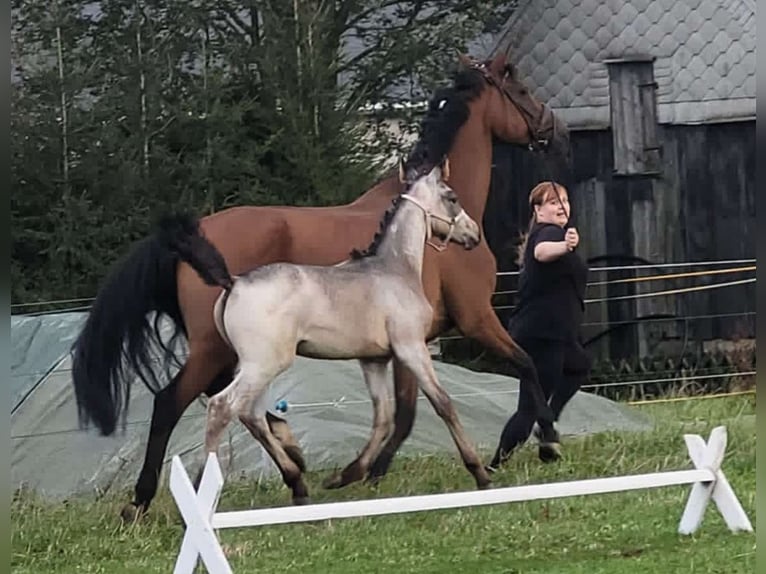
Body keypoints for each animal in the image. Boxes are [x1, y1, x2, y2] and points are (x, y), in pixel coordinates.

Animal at [161, 162, 492, 504]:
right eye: (452, 197)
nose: (473, 234)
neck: (395, 270)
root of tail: (233, 282)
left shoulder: (374, 360)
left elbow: (383, 417)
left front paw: (344, 476)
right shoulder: (411, 348)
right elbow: (443, 404)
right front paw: (480, 474)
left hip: (257, 368)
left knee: (252, 415)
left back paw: (298, 483)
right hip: (263, 366)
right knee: (222, 408)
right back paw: (203, 489)